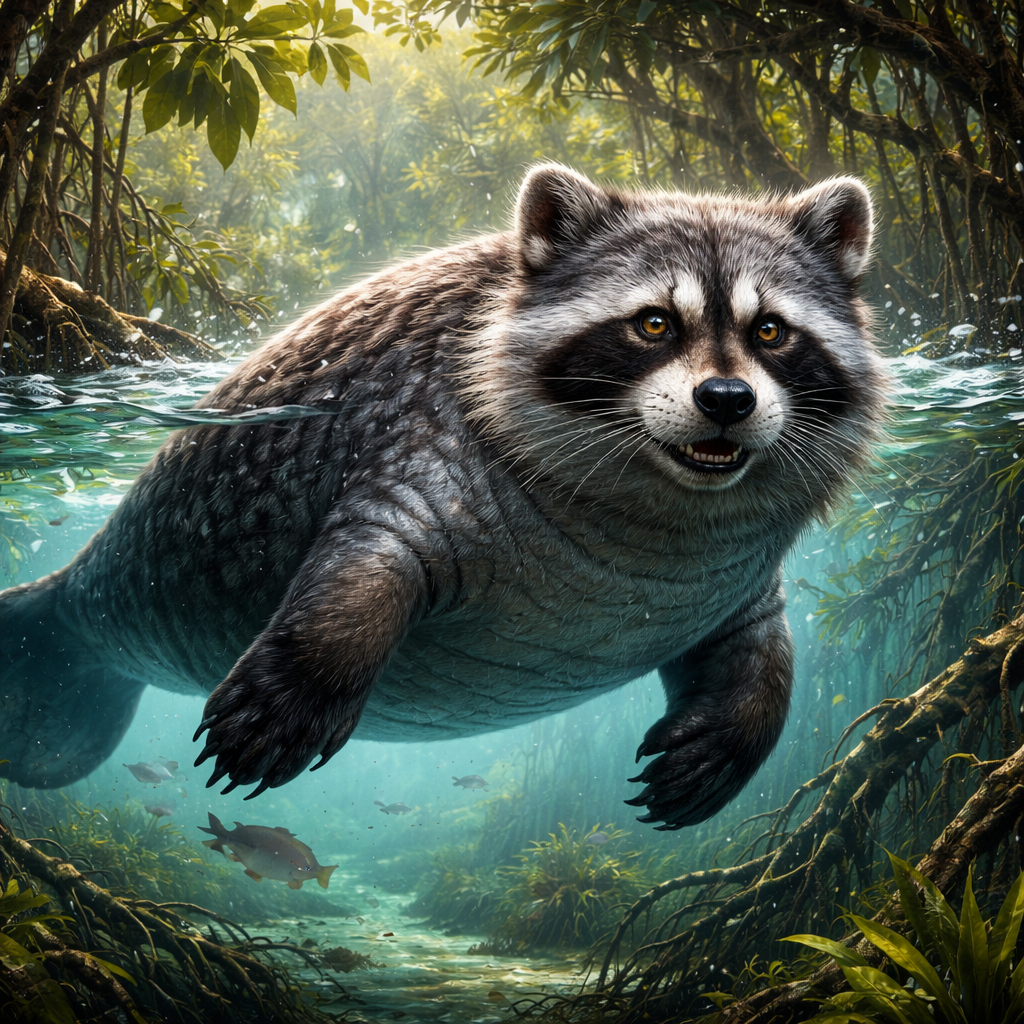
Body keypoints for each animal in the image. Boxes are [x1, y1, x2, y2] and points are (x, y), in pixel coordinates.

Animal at [0, 165, 884, 829]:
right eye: (654, 323)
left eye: (771, 331)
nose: (728, 398)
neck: (658, 518)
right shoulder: (419, 451)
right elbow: (355, 588)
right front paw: (287, 698)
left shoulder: (739, 584)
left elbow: (764, 665)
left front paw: (717, 752)